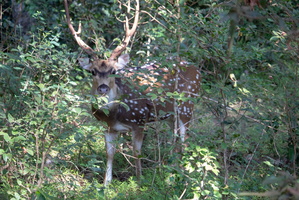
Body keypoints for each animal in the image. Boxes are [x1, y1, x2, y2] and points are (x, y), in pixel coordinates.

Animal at [65, 0, 202, 186]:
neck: (114, 113)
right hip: (170, 114)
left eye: (114, 71)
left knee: (184, 138)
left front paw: (139, 181)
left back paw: (183, 177)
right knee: (175, 138)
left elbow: (137, 153)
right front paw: (106, 183)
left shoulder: (140, 120)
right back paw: (172, 174)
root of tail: (197, 69)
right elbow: (110, 153)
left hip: (187, 104)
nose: (103, 88)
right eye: (93, 71)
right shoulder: (109, 128)